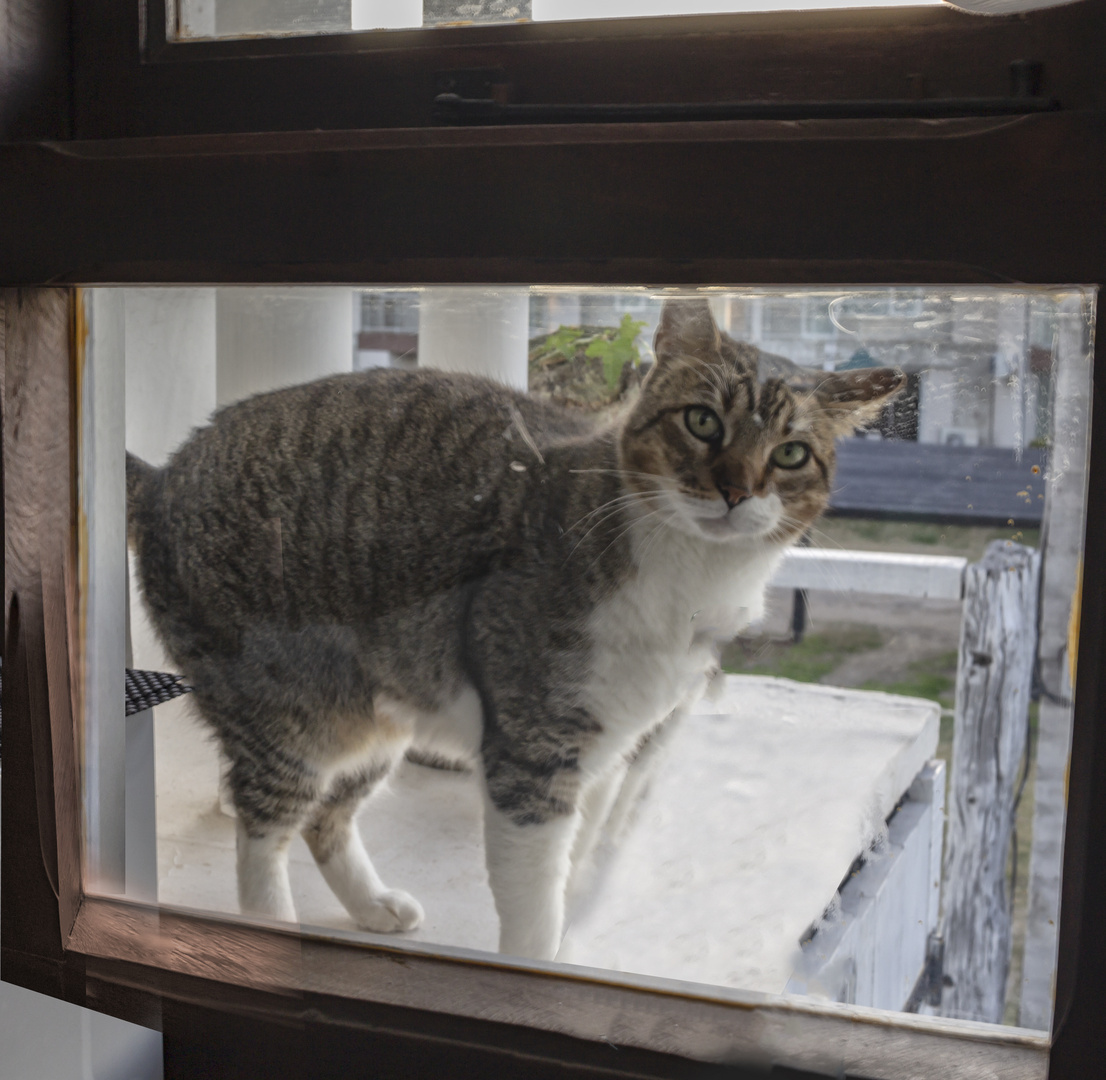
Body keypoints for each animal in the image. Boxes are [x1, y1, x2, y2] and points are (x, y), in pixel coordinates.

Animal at [125, 296, 902, 960]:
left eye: (792, 454)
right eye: (703, 421)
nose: (736, 490)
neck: (690, 578)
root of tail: (161, 476)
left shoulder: (608, 754)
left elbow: (575, 870)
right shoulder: (533, 750)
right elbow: (533, 903)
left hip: (376, 715)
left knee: (325, 817)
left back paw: (373, 905)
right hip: (287, 710)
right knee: (263, 829)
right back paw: (272, 930)